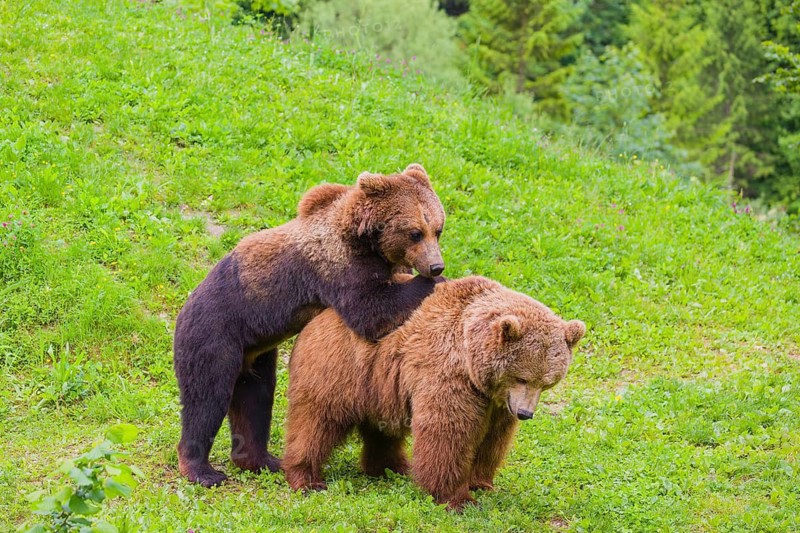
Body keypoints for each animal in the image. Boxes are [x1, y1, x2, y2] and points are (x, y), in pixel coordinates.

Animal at [173, 164, 446, 487]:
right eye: (415, 232)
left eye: (438, 229)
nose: (436, 266)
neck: (367, 242)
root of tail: (185, 306)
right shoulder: (338, 266)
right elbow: (370, 311)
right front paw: (430, 283)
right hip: (215, 335)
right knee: (207, 398)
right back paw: (202, 470)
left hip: (256, 355)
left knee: (255, 401)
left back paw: (262, 461)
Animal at [282, 275, 585, 511]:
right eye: (522, 377)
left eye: (546, 382)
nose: (524, 413)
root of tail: (319, 317)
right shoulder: (447, 372)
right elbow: (448, 432)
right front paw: (457, 499)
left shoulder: (496, 401)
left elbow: (493, 438)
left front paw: (482, 483)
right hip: (339, 368)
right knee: (316, 422)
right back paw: (307, 478)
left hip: (380, 387)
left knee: (382, 430)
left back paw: (392, 467)